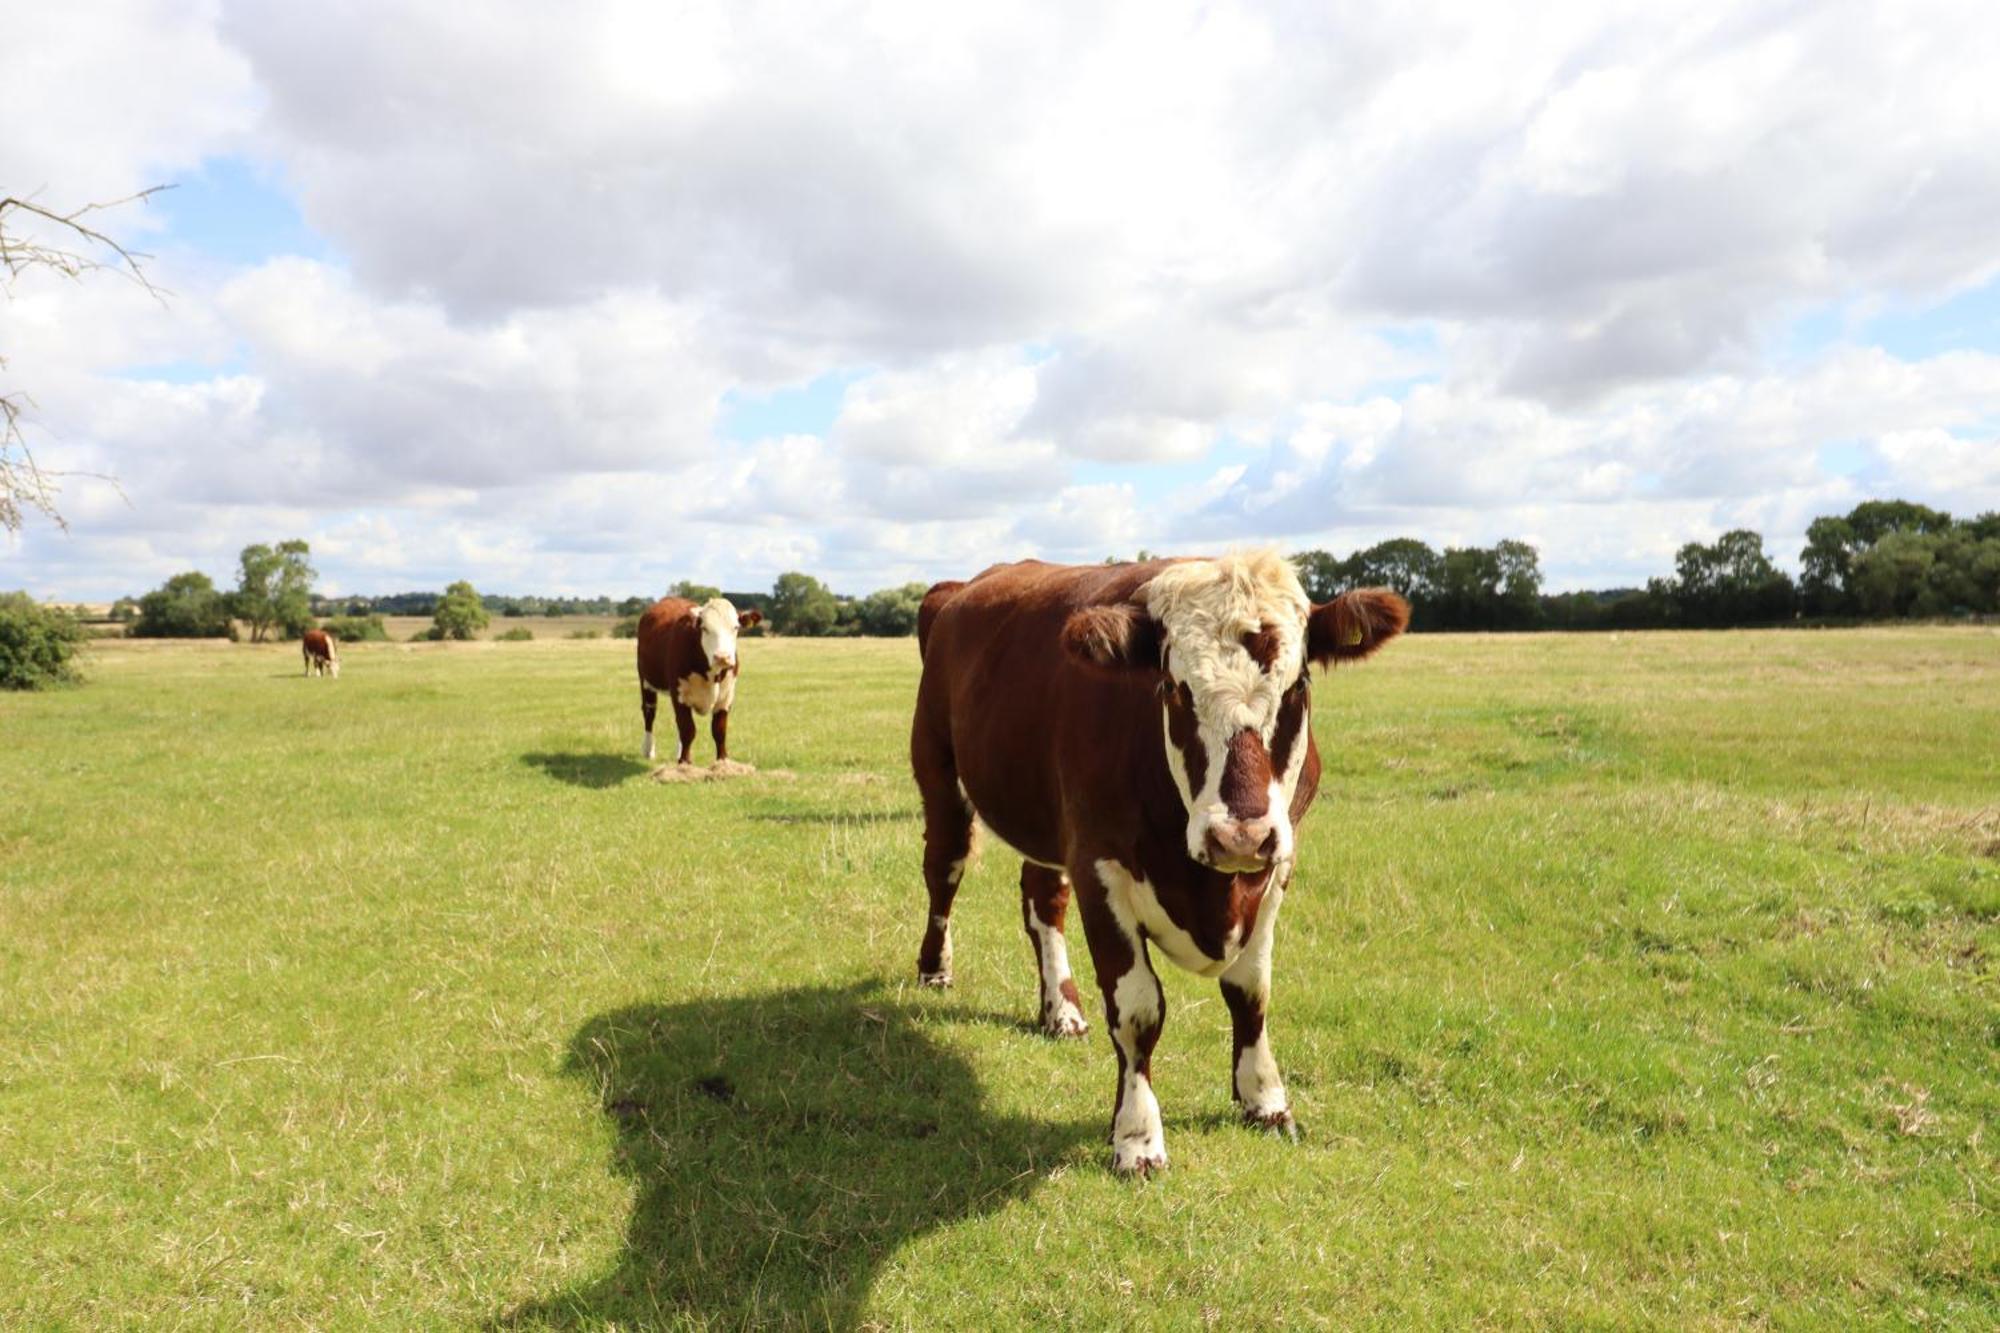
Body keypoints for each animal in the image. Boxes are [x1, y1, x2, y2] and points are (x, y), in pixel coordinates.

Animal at [640, 596, 764, 764]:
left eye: (736, 627)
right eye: (704, 628)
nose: (722, 657)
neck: (712, 674)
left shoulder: (726, 696)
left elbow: (719, 730)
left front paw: (722, 761)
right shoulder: (679, 694)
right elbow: (687, 729)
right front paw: (684, 762)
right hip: (646, 681)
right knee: (649, 713)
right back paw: (648, 749)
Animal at [912, 548, 1408, 1176]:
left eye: (1298, 685)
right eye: (1174, 688)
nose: (1238, 835)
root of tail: (959, 589)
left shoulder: (1278, 864)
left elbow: (1251, 991)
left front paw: (1265, 1099)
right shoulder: (1099, 866)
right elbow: (1138, 1011)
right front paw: (1138, 1136)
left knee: (1043, 902)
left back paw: (1060, 1009)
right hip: (940, 777)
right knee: (943, 872)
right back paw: (935, 968)